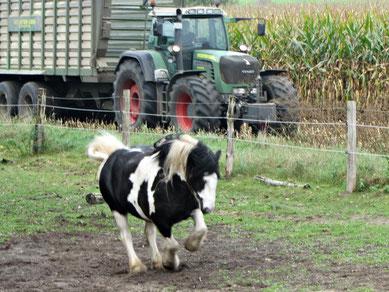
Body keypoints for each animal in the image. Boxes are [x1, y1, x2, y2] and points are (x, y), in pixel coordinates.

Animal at [88, 133, 221, 272]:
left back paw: (157, 262)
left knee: (149, 234)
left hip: (146, 215)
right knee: (126, 236)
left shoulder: (193, 209)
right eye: (199, 178)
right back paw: (136, 266)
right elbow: (173, 245)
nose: (208, 208)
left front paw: (190, 246)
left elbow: (201, 229)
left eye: (217, 177)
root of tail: (109, 157)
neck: (171, 188)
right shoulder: (161, 222)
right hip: (117, 209)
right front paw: (170, 263)